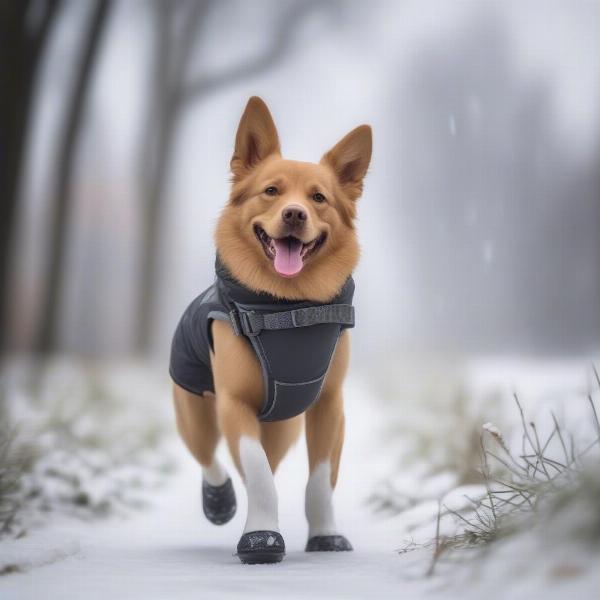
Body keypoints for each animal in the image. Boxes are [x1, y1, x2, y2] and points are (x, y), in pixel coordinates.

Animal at [171, 96, 372, 564]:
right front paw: (261, 537)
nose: (294, 214)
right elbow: (258, 474)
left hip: (282, 427)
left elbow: (319, 481)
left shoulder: (329, 406)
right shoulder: (235, 403)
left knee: (268, 460)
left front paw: (325, 534)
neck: (286, 306)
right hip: (195, 414)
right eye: (271, 191)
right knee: (213, 459)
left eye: (318, 198)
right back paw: (220, 502)